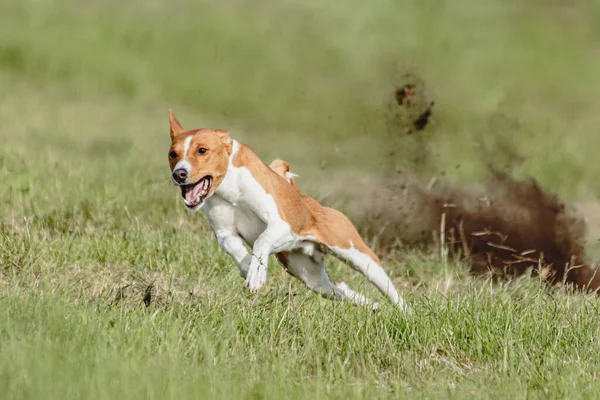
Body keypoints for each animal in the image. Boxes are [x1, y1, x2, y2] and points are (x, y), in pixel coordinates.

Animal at [169, 110, 408, 312]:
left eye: (202, 150)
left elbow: (261, 240)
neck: (230, 190)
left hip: (358, 256)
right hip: (310, 276)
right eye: (173, 154)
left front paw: (256, 273)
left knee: (389, 289)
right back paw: (373, 307)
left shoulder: (282, 225)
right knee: (341, 289)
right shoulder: (224, 234)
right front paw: (249, 268)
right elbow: (236, 248)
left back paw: (407, 315)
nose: (179, 174)